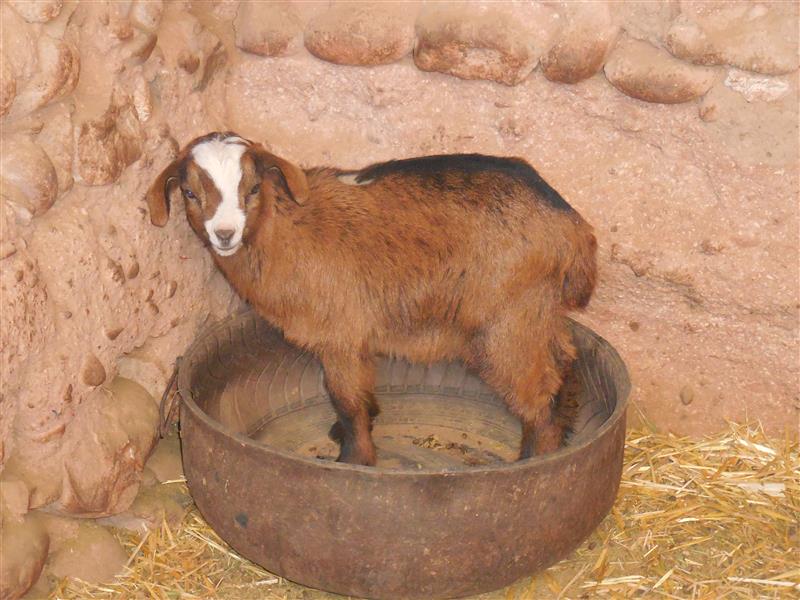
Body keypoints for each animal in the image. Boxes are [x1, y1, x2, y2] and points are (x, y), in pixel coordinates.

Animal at [146, 132, 598, 466]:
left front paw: (355, 459)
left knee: (537, 394)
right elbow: (361, 392)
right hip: (538, 309)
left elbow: (346, 399)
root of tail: (573, 228)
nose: (224, 234)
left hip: (507, 322)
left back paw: (534, 462)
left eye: (254, 188)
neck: (289, 227)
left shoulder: (339, 333)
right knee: (564, 361)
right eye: (189, 193)